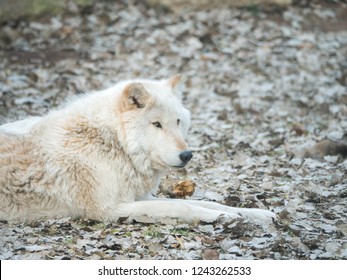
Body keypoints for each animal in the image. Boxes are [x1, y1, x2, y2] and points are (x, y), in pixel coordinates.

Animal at [0, 75, 278, 224]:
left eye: (178, 122)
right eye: (156, 124)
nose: (187, 155)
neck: (112, 142)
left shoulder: (140, 197)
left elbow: (208, 203)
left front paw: (256, 214)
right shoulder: (109, 209)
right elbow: (184, 207)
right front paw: (221, 218)